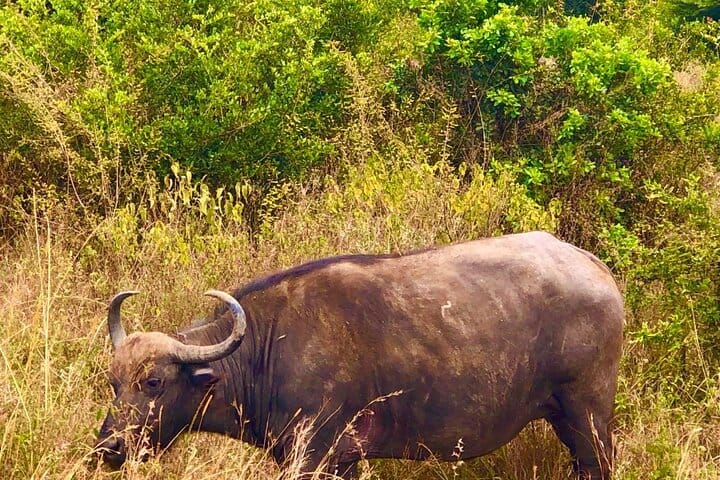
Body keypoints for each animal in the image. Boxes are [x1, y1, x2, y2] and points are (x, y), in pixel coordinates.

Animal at [95, 231, 623, 479]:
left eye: (154, 382)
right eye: (113, 382)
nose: (109, 448)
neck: (269, 348)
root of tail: (597, 269)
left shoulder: (313, 455)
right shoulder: (342, 460)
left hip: (588, 419)